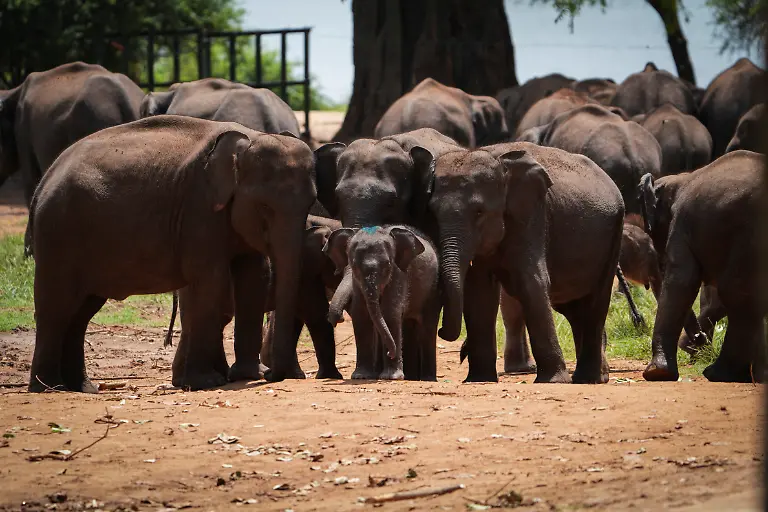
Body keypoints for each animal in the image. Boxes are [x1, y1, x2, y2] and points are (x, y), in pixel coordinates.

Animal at [27, 115, 316, 392]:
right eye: (264, 207)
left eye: (311, 204)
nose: (271, 374)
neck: (249, 138)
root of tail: (44, 180)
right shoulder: (198, 206)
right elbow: (211, 280)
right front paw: (207, 383)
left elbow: (255, 278)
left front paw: (247, 376)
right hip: (58, 232)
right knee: (57, 306)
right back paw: (49, 388)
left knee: (81, 312)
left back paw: (82, 388)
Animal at [324, 225, 440, 380]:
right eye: (354, 266)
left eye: (387, 265)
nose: (391, 353)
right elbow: (361, 315)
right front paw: (360, 376)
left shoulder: (399, 274)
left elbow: (390, 313)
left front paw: (392, 377)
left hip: (432, 289)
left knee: (427, 328)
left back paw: (428, 379)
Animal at [415, 141, 624, 383]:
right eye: (432, 212)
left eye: (479, 212)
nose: (441, 332)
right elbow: (479, 292)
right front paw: (480, 380)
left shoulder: (532, 215)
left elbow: (531, 282)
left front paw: (552, 382)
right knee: (574, 308)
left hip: (615, 233)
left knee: (596, 302)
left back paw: (589, 379)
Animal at [639, 150, 767, 382]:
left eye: (652, 232)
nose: (699, 339)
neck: (682, 178)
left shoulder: (681, 224)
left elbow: (682, 281)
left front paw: (656, 373)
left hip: (749, 234)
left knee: (735, 295)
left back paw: (717, 373)